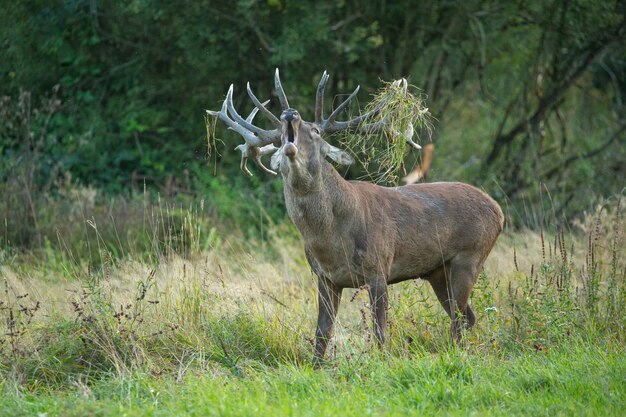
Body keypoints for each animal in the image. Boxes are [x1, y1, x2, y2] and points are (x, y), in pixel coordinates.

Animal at [207, 70, 504, 362]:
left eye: (315, 130)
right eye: (280, 135)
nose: (289, 114)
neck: (330, 240)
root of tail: (499, 211)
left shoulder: (379, 267)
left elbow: (379, 330)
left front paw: (380, 364)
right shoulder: (325, 277)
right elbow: (322, 332)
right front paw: (316, 367)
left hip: (470, 256)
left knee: (460, 316)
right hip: (437, 271)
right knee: (465, 316)